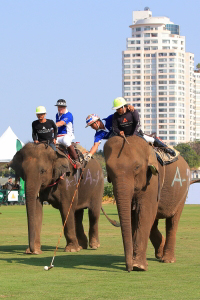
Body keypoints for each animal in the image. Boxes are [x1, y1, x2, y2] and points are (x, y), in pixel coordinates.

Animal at [104, 135, 191, 272]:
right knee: (153, 223)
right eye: (108, 169)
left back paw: (167, 260)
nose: (128, 269)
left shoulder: (153, 180)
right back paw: (160, 253)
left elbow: (145, 212)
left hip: (183, 191)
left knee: (172, 221)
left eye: (137, 167)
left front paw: (138, 266)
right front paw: (136, 263)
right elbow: (133, 216)